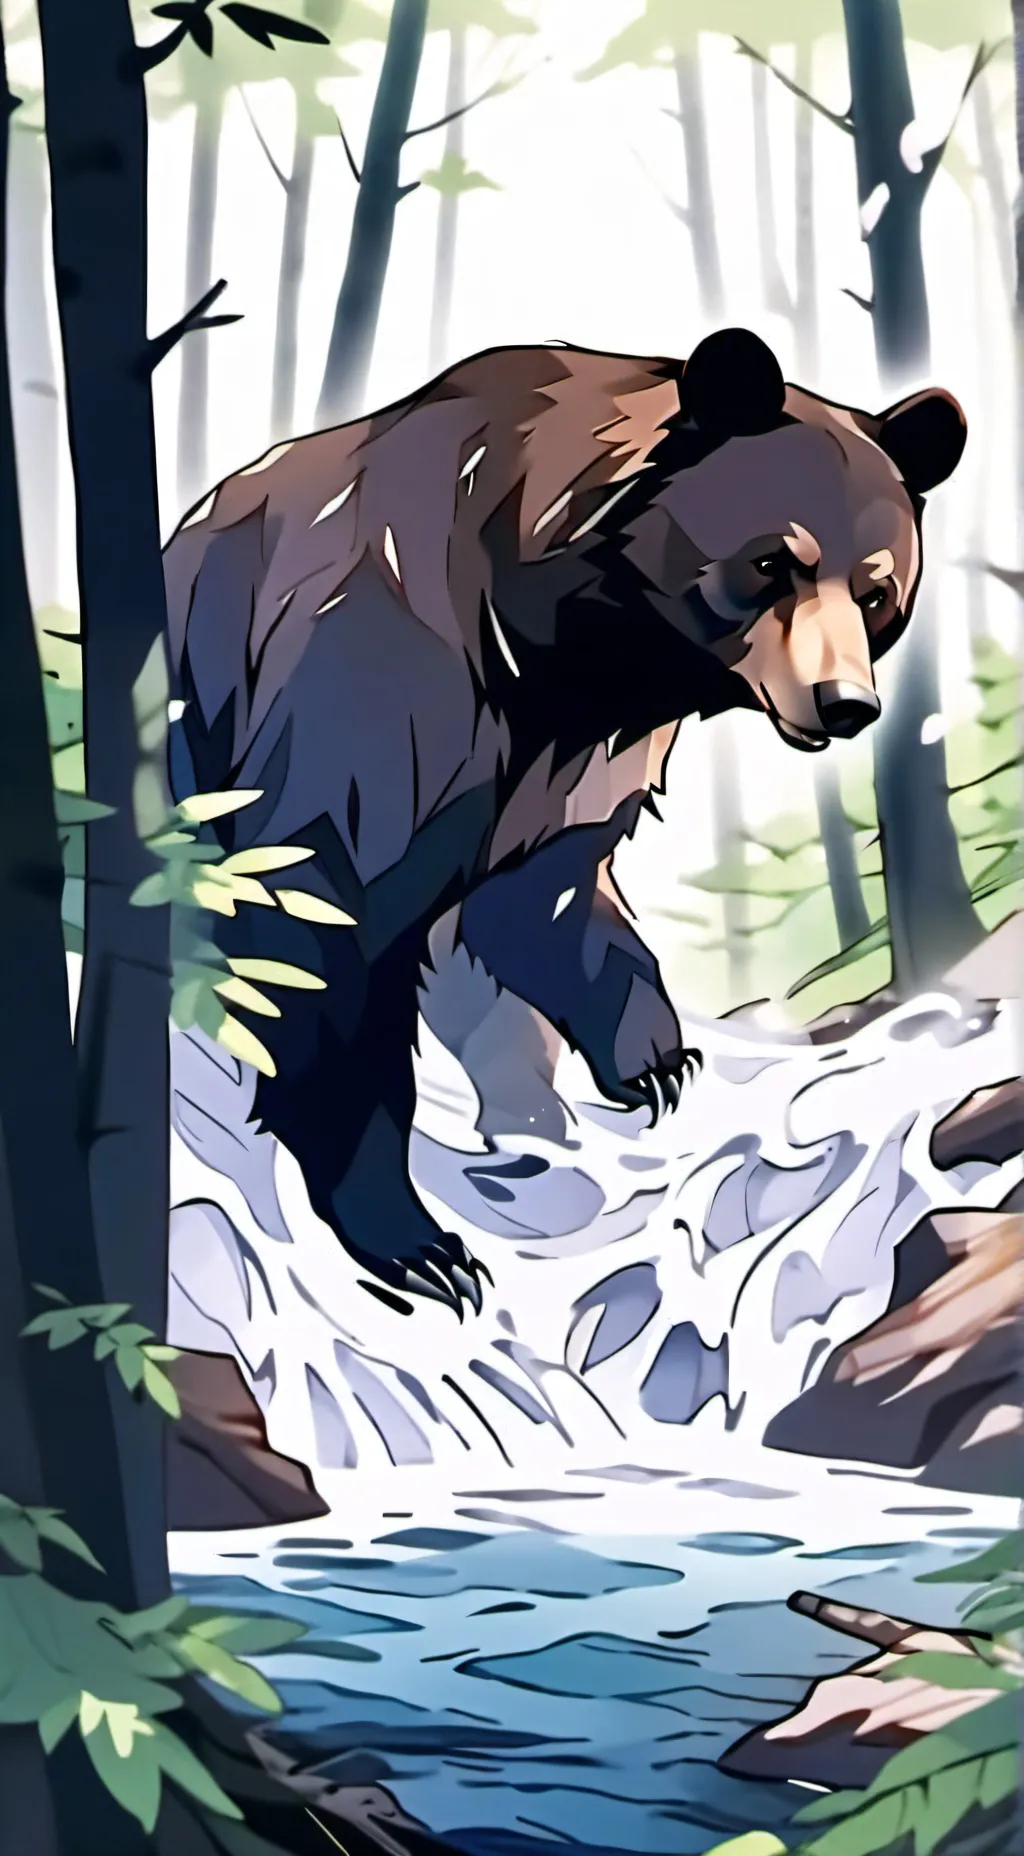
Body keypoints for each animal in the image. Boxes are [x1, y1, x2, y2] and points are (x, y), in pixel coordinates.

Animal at [162, 327, 967, 1318]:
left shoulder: (577, 755)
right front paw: (417, 1242)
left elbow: (543, 891)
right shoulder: (382, 687)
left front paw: (655, 1059)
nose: (845, 703)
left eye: (875, 590)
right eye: (772, 562)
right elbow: (324, 909)